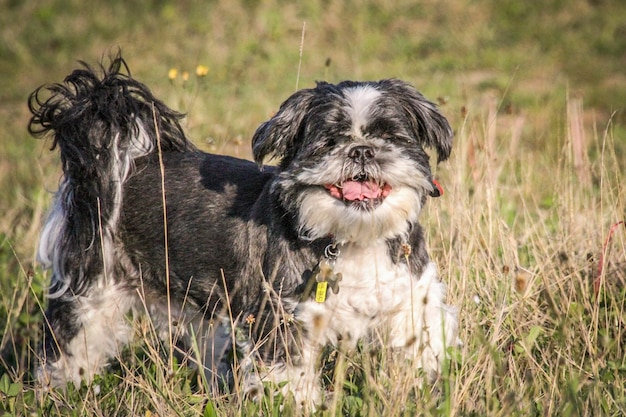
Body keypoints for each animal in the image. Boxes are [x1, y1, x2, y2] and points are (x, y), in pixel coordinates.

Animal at [29, 54, 456, 406]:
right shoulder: (282, 321)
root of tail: (128, 162)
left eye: (390, 137)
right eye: (328, 142)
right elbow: (291, 381)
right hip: (90, 291)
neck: (354, 238)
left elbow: (420, 352)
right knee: (66, 351)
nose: (362, 150)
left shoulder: (411, 303)